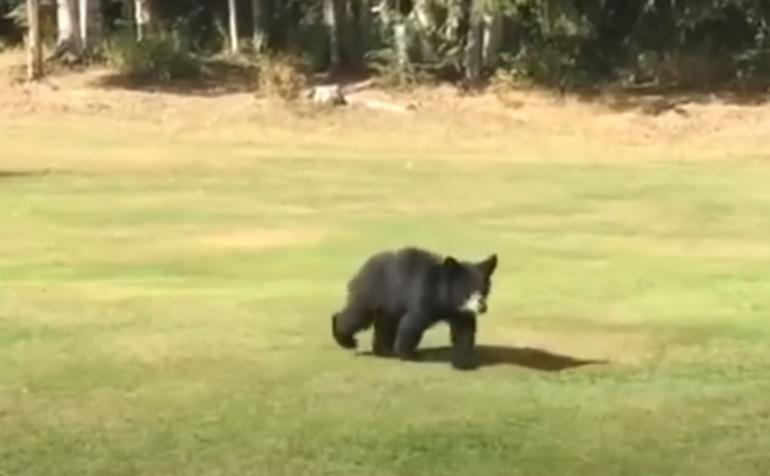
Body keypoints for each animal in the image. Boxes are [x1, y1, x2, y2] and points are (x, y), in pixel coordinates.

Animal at [330, 247, 498, 370]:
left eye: (484, 291)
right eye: (468, 291)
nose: (483, 307)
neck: (445, 297)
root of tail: (364, 267)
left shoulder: (459, 311)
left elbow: (464, 330)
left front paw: (463, 360)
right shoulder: (424, 297)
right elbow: (412, 323)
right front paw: (407, 353)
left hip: (390, 305)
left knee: (385, 324)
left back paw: (384, 350)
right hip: (373, 292)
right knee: (358, 315)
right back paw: (346, 338)